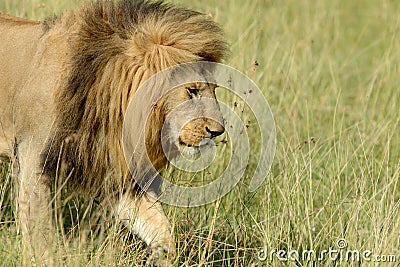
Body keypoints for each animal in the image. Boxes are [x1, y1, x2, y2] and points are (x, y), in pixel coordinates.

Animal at [0, 0, 227, 266]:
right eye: (192, 90)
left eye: (213, 89)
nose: (217, 131)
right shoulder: (33, 161)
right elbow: (40, 234)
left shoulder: (118, 176)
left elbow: (160, 228)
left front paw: (162, 255)